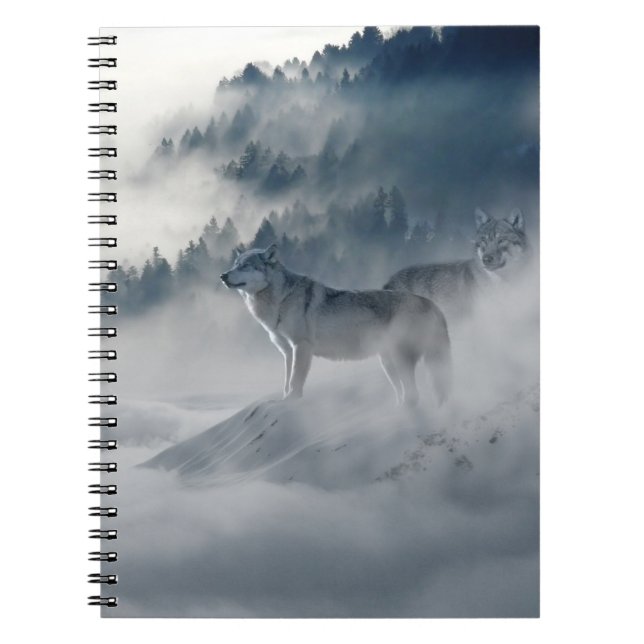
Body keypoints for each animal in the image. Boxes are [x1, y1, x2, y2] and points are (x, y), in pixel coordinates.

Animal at [220, 244, 451, 406]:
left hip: (399, 359)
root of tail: (431, 304)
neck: (281, 299)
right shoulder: (287, 351)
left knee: (414, 394)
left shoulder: (301, 347)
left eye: (245, 266)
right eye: (234, 264)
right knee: (406, 393)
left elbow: (295, 381)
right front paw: (283, 400)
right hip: (388, 363)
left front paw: (292, 402)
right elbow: (286, 382)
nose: (222, 275)